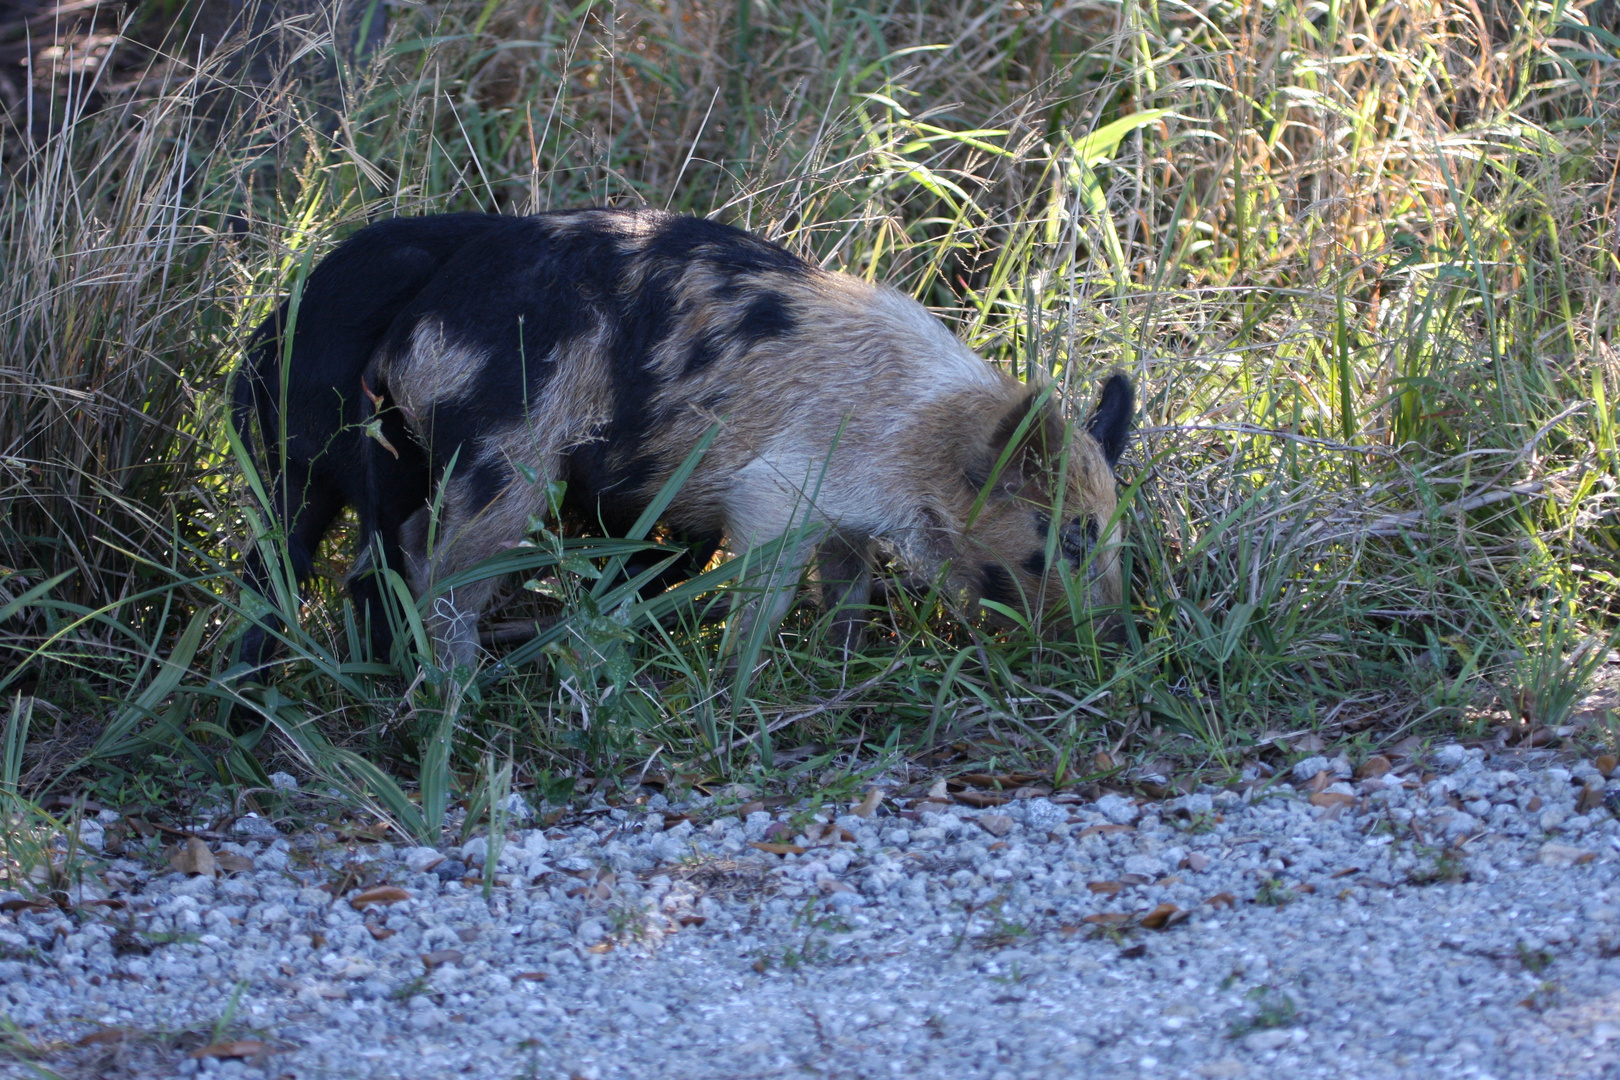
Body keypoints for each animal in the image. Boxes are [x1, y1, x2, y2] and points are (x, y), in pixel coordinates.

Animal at [367, 207, 1134, 670]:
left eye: (1115, 535)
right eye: (1069, 538)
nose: (1120, 640)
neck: (919, 436)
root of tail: (408, 333)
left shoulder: (848, 519)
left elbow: (848, 589)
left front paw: (842, 663)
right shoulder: (773, 493)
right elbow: (765, 595)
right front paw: (740, 678)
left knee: (413, 540)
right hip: (509, 447)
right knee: (440, 560)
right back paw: (457, 691)